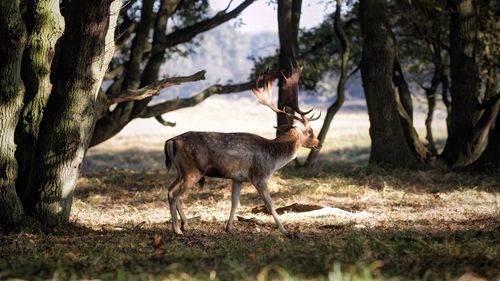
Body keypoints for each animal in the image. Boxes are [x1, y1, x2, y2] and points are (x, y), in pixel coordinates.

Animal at [164, 64, 320, 235]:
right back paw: (177, 229)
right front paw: (284, 230)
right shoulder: (260, 176)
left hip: (181, 170)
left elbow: (235, 202)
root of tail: (171, 141)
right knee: (173, 193)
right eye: (310, 131)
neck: (273, 157)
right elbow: (270, 204)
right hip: (192, 170)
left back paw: (185, 224)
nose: (318, 143)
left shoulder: (237, 178)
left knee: (170, 189)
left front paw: (229, 228)